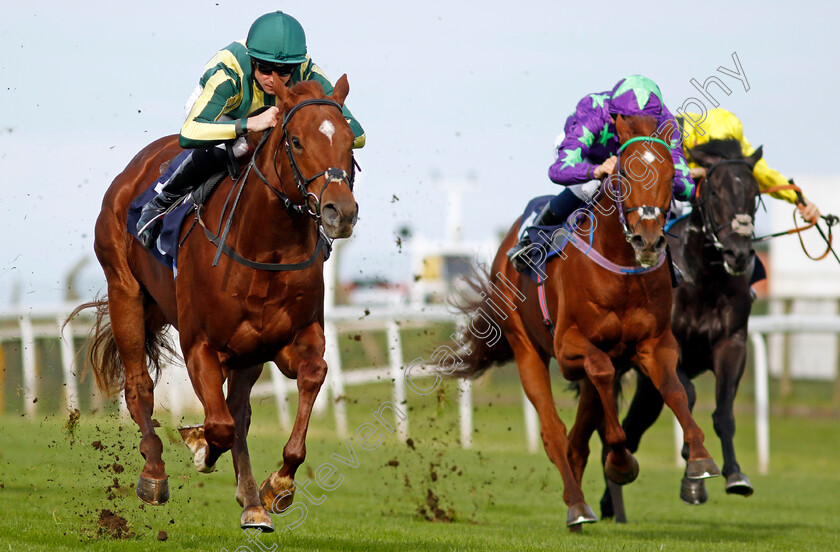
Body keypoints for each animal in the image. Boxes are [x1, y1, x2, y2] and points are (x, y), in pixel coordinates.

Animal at [72, 74, 358, 532]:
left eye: (350, 141)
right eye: (296, 141)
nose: (340, 212)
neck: (265, 249)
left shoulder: (290, 338)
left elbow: (310, 378)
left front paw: (277, 486)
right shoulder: (200, 346)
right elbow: (218, 425)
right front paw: (200, 445)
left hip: (247, 353)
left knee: (239, 411)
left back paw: (252, 502)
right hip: (124, 290)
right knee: (140, 386)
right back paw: (154, 473)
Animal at [456, 115, 720, 532]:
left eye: (670, 175)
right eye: (625, 171)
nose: (648, 240)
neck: (621, 272)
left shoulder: (656, 344)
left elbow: (675, 392)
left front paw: (699, 458)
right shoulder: (569, 349)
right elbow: (600, 370)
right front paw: (622, 463)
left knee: (578, 437)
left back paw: (579, 507)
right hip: (526, 346)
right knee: (554, 431)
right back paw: (577, 505)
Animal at [600, 139, 764, 520]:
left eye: (755, 193)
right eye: (715, 190)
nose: (738, 253)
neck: (703, 279)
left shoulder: (732, 344)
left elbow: (724, 412)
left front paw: (735, 475)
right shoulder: (666, 349)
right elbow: (687, 396)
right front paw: (693, 473)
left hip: (646, 387)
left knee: (632, 429)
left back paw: (609, 503)